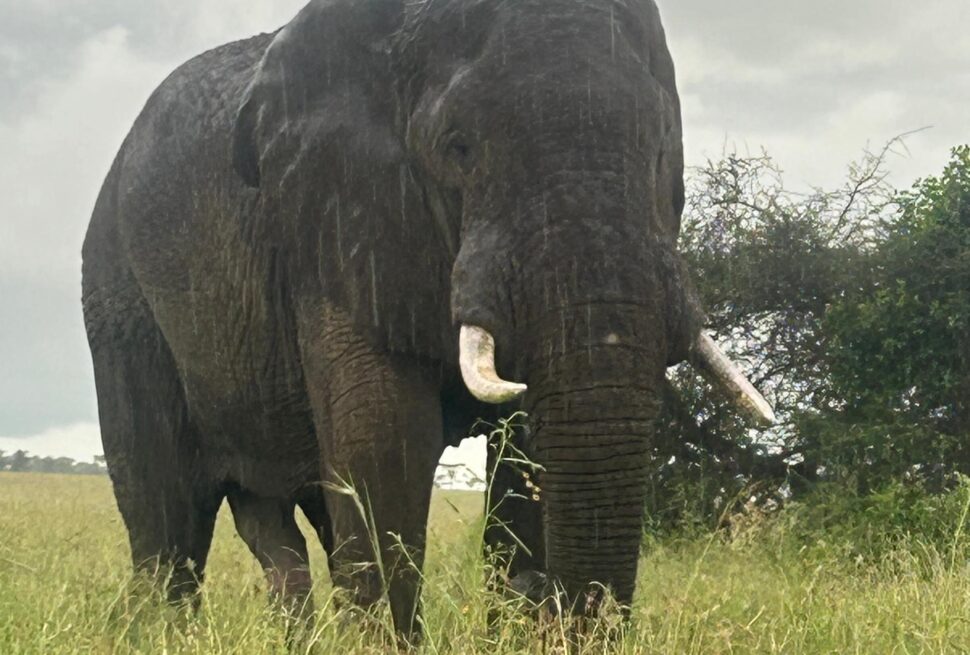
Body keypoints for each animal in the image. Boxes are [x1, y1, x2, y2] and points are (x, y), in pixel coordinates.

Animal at [81, 0, 773, 636]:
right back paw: (159, 632)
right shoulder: (337, 223)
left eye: (660, 151)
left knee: (275, 523)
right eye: (457, 148)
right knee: (166, 515)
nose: (550, 603)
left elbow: (524, 452)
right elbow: (384, 443)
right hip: (118, 291)